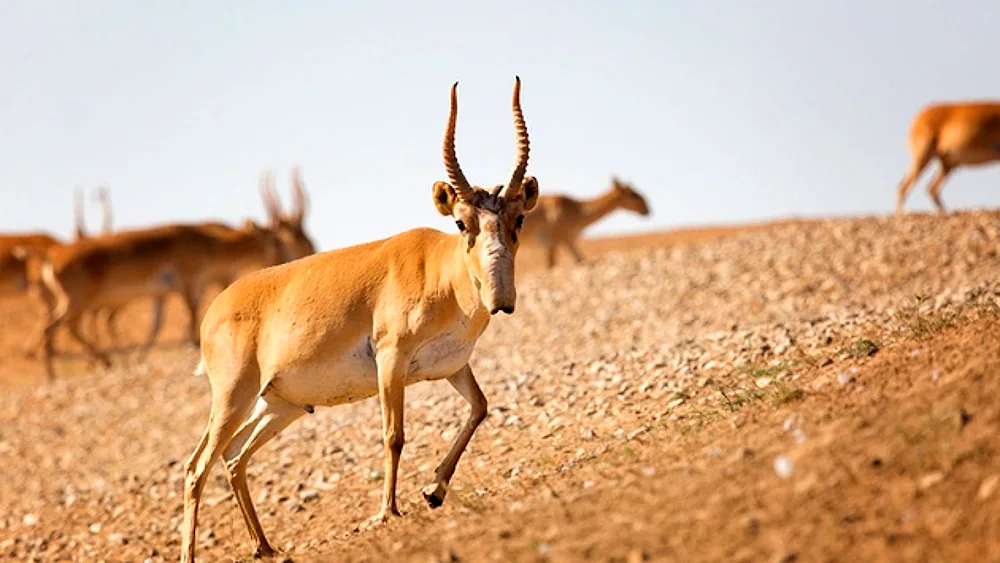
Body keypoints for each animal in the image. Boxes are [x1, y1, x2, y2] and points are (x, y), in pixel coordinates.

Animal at [180, 76, 540, 563]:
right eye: (462, 223)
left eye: (518, 218)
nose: (501, 298)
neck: (438, 269)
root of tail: (215, 309)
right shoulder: (391, 362)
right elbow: (394, 435)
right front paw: (388, 511)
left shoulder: (452, 366)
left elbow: (480, 407)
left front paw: (433, 492)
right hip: (234, 395)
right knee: (197, 466)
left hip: (279, 405)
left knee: (234, 458)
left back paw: (265, 546)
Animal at [520, 178, 652, 270]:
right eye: (632, 194)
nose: (647, 210)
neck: (577, 211)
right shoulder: (553, 241)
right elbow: (551, 267)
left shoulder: (569, 241)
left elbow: (581, 260)